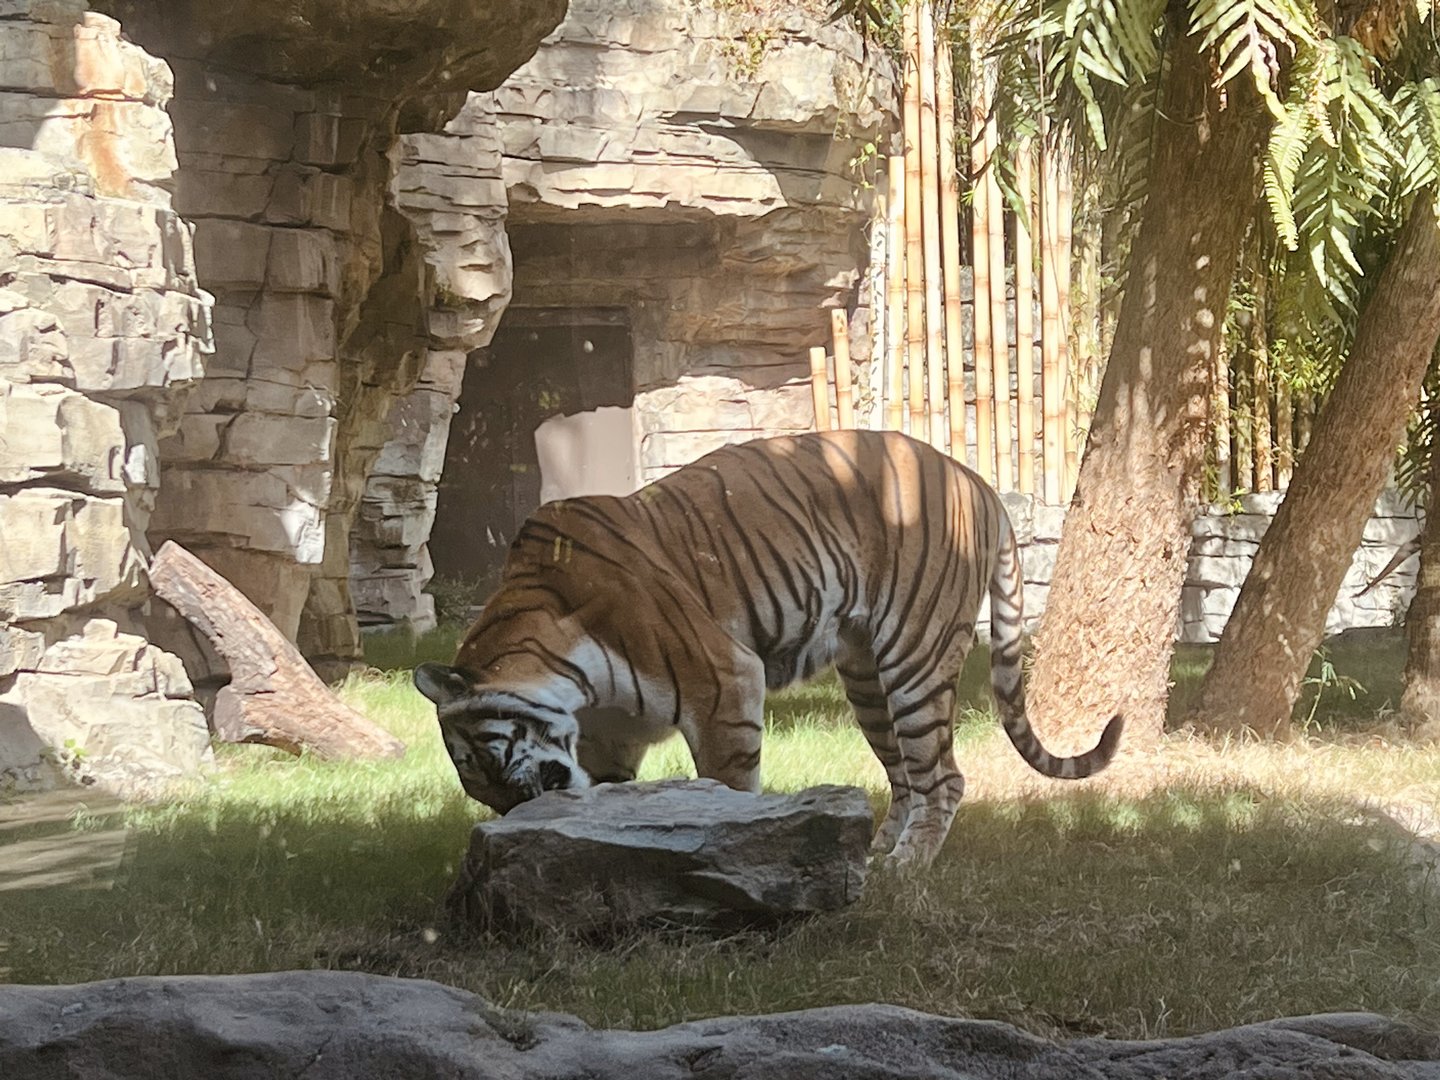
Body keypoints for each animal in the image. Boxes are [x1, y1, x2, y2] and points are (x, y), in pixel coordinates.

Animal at [414, 429, 1123, 867]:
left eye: (479, 760)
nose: (513, 812)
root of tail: (976, 478)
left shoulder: (723, 682)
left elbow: (730, 789)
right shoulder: (609, 743)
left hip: (915, 657)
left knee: (943, 777)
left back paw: (905, 870)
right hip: (868, 681)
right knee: (906, 778)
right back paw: (873, 856)